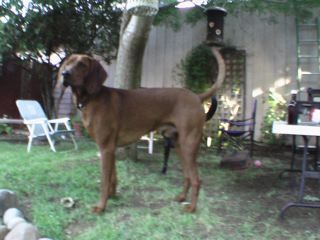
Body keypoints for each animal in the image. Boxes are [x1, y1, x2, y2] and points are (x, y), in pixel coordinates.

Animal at [57, 53, 222, 213]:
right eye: (68, 63)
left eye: (82, 64)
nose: (65, 74)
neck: (92, 98)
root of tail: (196, 96)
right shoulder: (111, 149)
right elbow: (113, 177)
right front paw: (112, 196)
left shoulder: (105, 148)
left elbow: (104, 181)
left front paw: (101, 207)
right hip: (179, 145)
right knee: (187, 175)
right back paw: (181, 197)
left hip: (188, 145)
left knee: (196, 180)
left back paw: (192, 208)